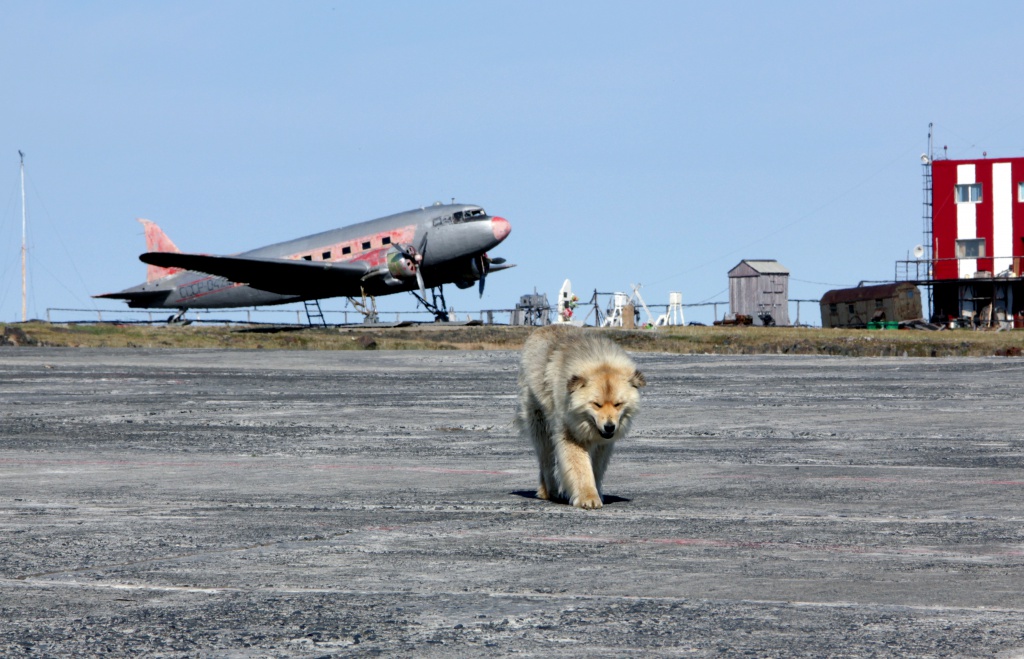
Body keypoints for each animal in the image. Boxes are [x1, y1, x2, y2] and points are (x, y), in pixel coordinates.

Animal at [516, 325, 643, 509]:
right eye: (596, 404)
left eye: (618, 404)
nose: (609, 427)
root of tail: (540, 329)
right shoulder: (570, 435)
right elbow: (580, 467)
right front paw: (587, 497)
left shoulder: (603, 445)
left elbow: (596, 468)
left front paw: (596, 492)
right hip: (540, 425)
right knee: (546, 461)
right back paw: (550, 491)